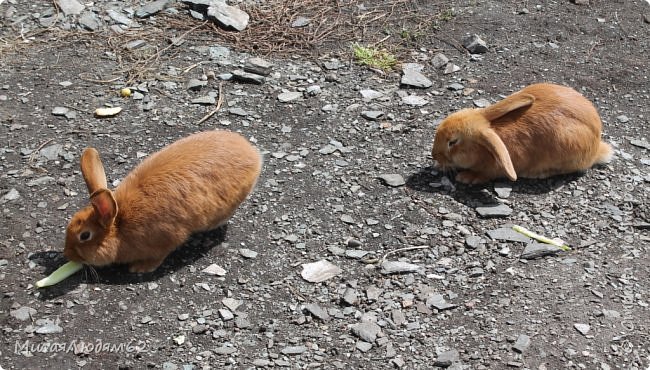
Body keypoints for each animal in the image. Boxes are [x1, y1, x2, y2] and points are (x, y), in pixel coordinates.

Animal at [62, 130, 260, 272]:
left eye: (85, 235)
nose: (68, 255)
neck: (120, 225)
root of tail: (253, 154)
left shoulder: (165, 240)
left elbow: (160, 255)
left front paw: (139, 268)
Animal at [430, 82, 612, 184]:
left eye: (452, 142)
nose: (434, 155)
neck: (482, 150)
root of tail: (597, 147)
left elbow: (485, 174)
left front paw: (467, 177)